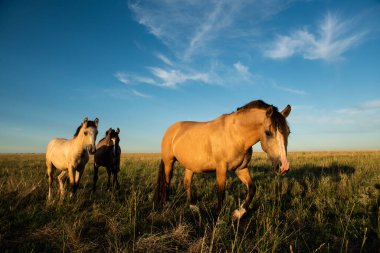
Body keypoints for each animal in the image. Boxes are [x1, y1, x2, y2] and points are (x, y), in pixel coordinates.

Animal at [154, 100, 290, 218]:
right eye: (268, 132)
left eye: (288, 132)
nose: (283, 166)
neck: (236, 134)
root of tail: (171, 130)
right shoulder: (221, 168)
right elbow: (221, 193)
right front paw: (217, 218)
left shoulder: (240, 168)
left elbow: (252, 188)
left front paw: (238, 213)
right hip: (169, 162)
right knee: (166, 183)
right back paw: (166, 205)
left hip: (190, 166)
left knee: (187, 183)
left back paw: (193, 207)